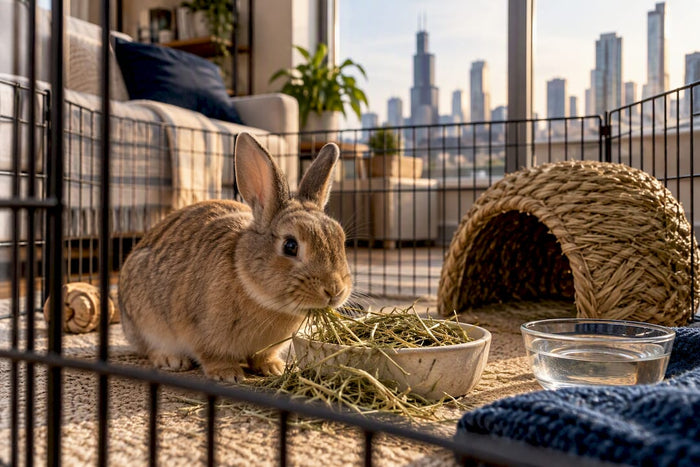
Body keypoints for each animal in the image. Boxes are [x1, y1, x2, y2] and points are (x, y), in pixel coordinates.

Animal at [118, 133, 352, 382]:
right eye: (290, 246)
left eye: (340, 239)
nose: (334, 291)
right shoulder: (201, 332)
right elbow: (211, 355)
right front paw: (228, 374)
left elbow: (263, 356)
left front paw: (274, 368)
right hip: (145, 322)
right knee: (150, 348)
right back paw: (171, 360)